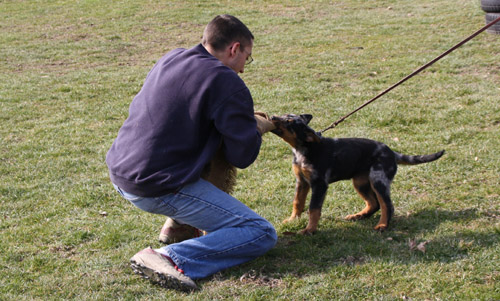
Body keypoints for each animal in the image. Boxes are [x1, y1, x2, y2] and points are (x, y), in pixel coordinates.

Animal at [272, 113, 444, 233]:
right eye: (284, 115)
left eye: (289, 122)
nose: (272, 117)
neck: (305, 148)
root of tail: (392, 153)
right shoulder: (301, 181)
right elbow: (298, 202)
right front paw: (292, 220)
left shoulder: (319, 184)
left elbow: (313, 208)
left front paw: (309, 230)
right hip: (360, 182)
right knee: (374, 203)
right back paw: (358, 216)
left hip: (378, 179)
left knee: (387, 205)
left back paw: (382, 225)